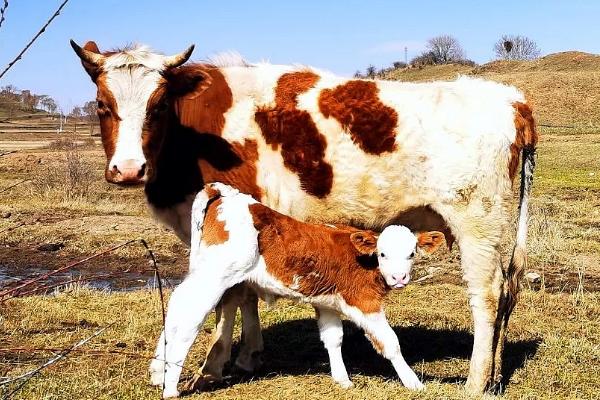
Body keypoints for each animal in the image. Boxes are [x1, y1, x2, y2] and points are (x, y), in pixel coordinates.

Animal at [71, 40, 540, 394]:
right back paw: (494, 373)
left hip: (477, 223)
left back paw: (476, 380)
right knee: (506, 293)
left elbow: (231, 297)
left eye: (158, 106)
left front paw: (216, 364)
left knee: (487, 295)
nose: (128, 169)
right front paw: (248, 355)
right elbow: (245, 293)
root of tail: (510, 97)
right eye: (101, 104)